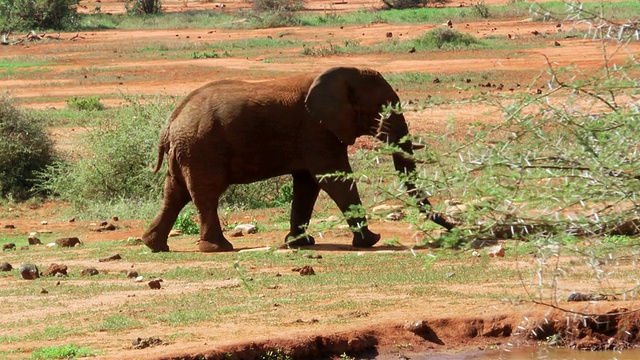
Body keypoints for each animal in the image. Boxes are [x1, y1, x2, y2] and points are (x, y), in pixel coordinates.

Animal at [142, 67, 452, 253]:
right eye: (382, 108)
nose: (454, 227)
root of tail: (171, 121)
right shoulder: (317, 130)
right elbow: (333, 179)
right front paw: (370, 241)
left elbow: (308, 184)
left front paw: (301, 244)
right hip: (202, 148)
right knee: (206, 194)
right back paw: (218, 248)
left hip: (187, 150)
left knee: (175, 193)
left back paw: (155, 246)